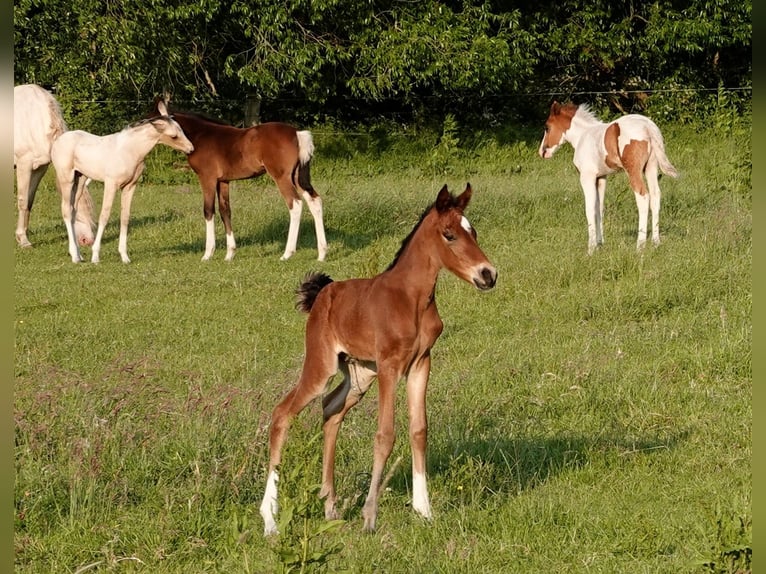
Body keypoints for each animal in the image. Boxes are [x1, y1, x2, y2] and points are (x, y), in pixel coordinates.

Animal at [13, 84, 95, 250]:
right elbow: (23, 201)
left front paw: (23, 234)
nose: (87, 240)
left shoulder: (39, 168)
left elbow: (29, 201)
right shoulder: (24, 164)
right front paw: (23, 240)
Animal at [50, 101, 195, 266]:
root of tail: (59, 140)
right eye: (174, 136)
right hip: (66, 179)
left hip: (80, 180)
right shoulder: (111, 184)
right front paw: (95, 256)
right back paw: (74, 256)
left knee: (74, 211)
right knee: (67, 211)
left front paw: (124, 256)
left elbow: (125, 217)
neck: (131, 151)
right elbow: (104, 216)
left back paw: (79, 255)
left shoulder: (130, 187)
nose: (191, 149)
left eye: (181, 130)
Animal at [153, 104, 328, 264]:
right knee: (315, 201)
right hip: (298, 177)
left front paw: (208, 254)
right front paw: (229, 254)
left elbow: (208, 211)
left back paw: (287, 253)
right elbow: (225, 211)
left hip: (282, 177)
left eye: (155, 123)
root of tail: (297, 134)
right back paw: (322, 253)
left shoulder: (207, 178)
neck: (200, 136)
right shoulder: (223, 181)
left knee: (295, 204)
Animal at [258, 183, 498, 536]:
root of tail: (321, 294)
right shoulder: (389, 366)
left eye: (474, 232)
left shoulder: (420, 364)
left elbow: (419, 430)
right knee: (283, 413)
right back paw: (270, 519)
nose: (488, 275)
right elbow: (385, 435)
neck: (411, 299)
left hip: (359, 375)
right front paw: (370, 516)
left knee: (331, 409)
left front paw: (424, 510)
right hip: (321, 365)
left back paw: (329, 505)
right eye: (449, 234)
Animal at [540, 102, 680, 255]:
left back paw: (640, 247)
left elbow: (589, 209)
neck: (582, 136)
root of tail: (648, 127)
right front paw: (600, 244)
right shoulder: (601, 178)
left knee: (643, 197)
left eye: (547, 127)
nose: (542, 152)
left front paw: (590, 249)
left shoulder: (587, 177)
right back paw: (656, 243)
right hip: (651, 167)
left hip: (633, 171)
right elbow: (599, 208)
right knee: (655, 196)